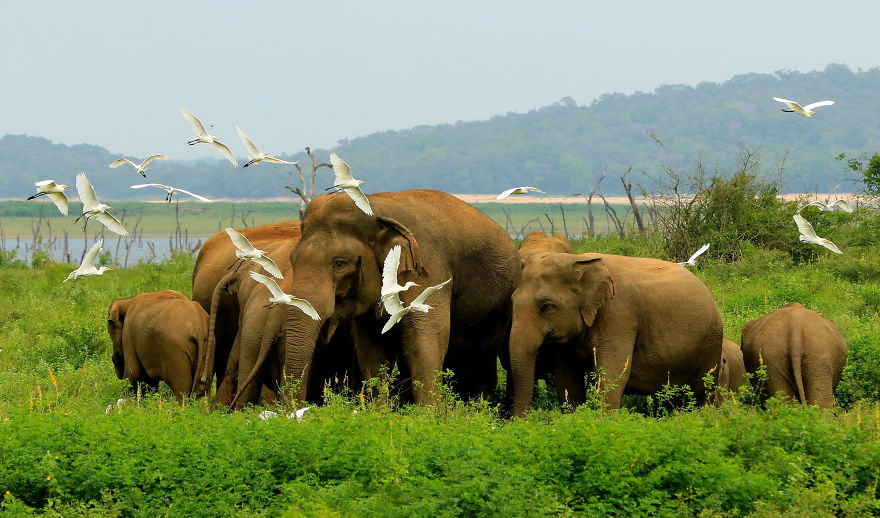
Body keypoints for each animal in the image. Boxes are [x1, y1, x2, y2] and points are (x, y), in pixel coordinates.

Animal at [283, 189, 521, 404]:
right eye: (292, 259)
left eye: (340, 263)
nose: (301, 410)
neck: (374, 209)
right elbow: (370, 347)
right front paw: (380, 411)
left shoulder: (427, 265)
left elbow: (425, 337)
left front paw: (428, 415)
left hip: (500, 308)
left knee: (481, 359)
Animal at [509, 252, 723, 416]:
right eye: (512, 300)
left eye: (546, 307)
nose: (519, 422)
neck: (578, 260)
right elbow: (567, 380)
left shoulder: (619, 316)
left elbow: (612, 375)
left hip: (711, 341)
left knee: (704, 389)